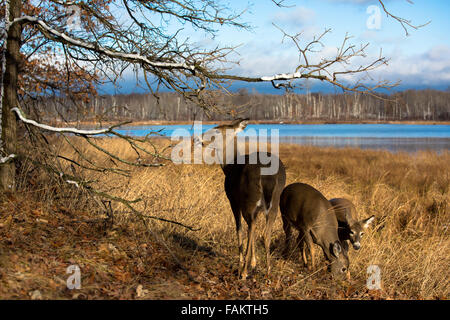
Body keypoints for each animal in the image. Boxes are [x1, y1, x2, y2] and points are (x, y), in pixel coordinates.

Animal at [193, 118, 284, 280]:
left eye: (217, 130)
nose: (198, 138)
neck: (229, 166)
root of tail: (268, 175)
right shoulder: (257, 209)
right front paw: (254, 262)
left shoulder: (233, 200)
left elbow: (239, 228)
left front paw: (244, 262)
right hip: (274, 201)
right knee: (264, 233)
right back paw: (268, 271)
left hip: (249, 199)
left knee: (250, 227)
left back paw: (243, 272)